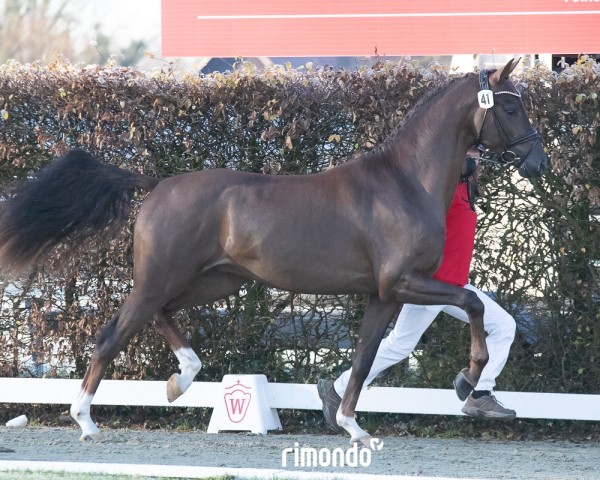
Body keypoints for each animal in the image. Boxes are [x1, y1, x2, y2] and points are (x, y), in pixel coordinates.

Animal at [0, 59, 548, 442]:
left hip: (214, 280)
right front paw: (468, 379)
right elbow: (471, 303)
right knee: (111, 336)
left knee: (160, 315)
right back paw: (86, 421)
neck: (405, 182)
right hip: (162, 277)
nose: (538, 162)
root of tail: (157, 184)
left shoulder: (384, 295)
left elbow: (365, 356)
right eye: (510, 106)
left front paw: (351, 426)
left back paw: (183, 378)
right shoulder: (403, 284)